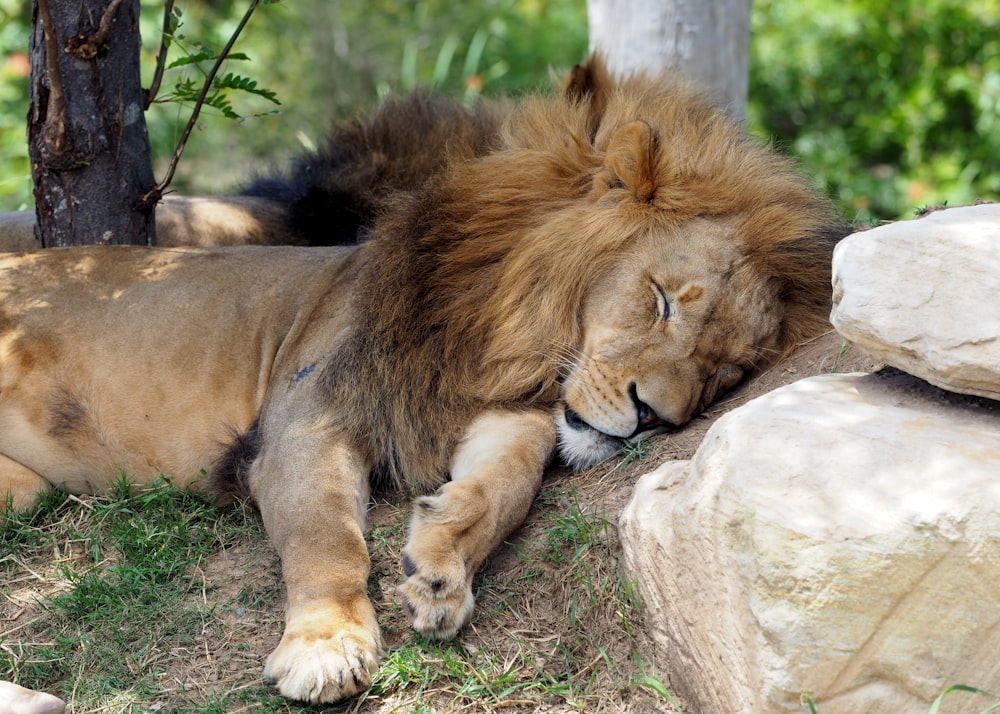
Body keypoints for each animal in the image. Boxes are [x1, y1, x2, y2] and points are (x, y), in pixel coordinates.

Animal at [0, 58, 844, 704]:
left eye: (724, 373)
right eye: (663, 300)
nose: (652, 418)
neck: (501, 344)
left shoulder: (507, 416)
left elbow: (505, 487)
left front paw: (440, 566)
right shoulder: (309, 420)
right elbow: (326, 536)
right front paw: (326, 645)